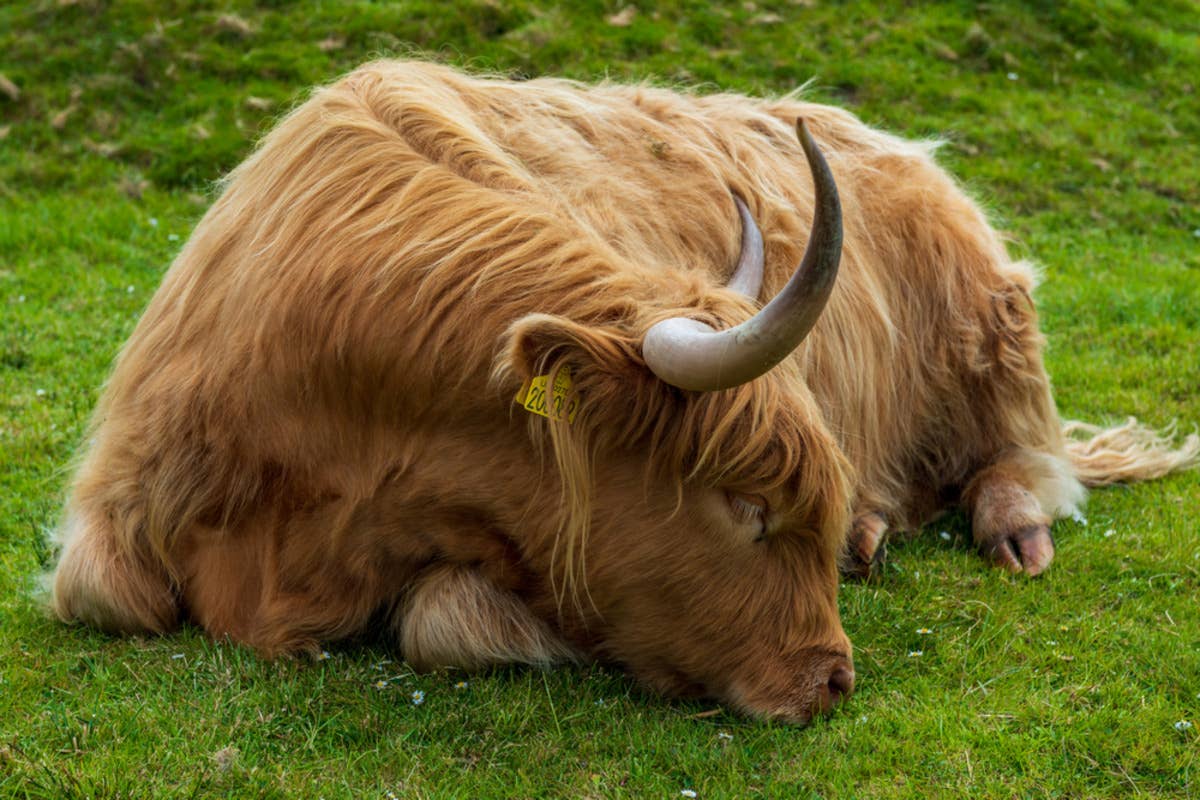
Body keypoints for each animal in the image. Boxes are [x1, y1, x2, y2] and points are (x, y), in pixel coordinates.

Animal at [50, 60, 1198, 723]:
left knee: (1023, 452)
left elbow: (443, 620)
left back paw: (1004, 527)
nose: (831, 680)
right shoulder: (115, 515)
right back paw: (878, 527)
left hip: (992, 324)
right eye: (747, 508)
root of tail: (892, 141)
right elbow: (107, 594)